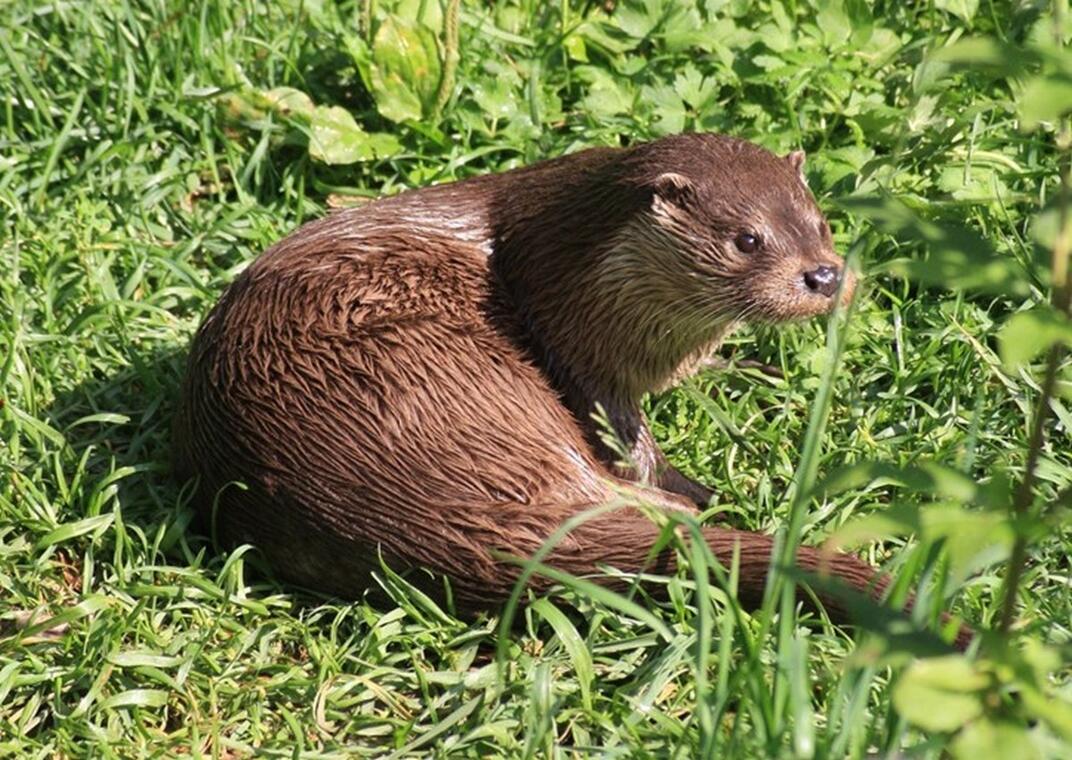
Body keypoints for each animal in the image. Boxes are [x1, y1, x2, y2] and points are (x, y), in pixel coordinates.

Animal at [173, 131, 973, 647]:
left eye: (820, 221)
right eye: (747, 239)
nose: (825, 275)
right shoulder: (578, 355)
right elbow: (631, 441)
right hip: (440, 376)